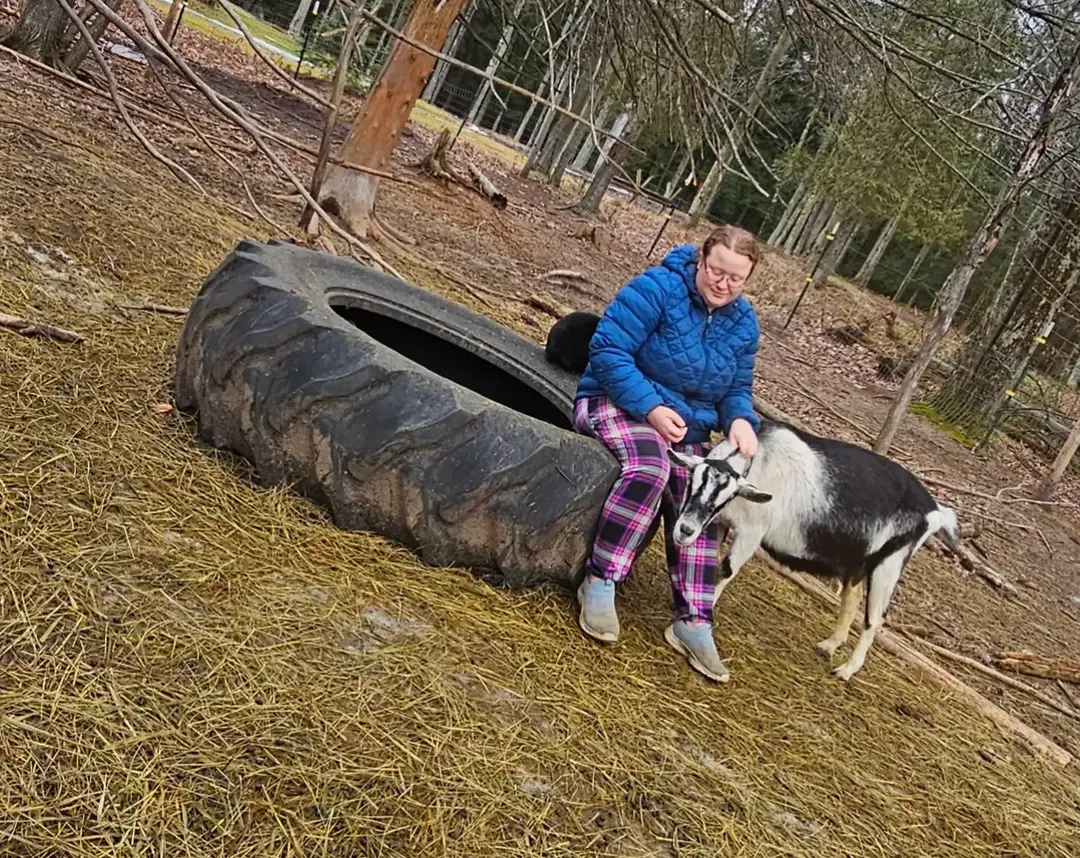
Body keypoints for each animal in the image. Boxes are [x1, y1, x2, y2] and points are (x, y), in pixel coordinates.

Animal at [665, 417, 963, 678]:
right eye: (692, 482)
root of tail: (934, 511)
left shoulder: (753, 532)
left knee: (875, 618)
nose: (685, 529)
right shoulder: (723, 524)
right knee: (852, 598)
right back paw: (828, 646)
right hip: (858, 561)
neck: (760, 460)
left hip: (890, 563)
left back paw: (846, 670)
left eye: (725, 497)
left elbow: (726, 570)